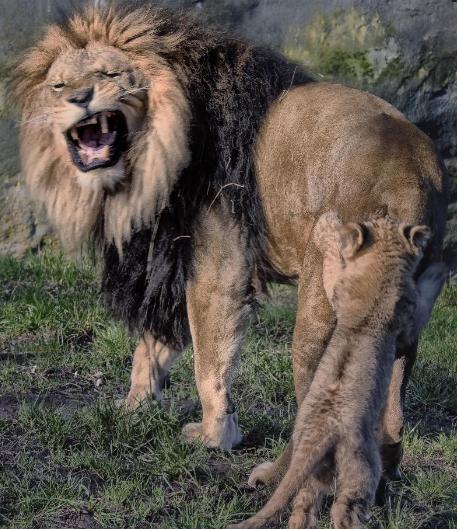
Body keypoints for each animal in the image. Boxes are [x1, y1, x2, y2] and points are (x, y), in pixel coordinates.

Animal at [14, 2, 446, 478]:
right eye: (58, 85)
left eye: (110, 74)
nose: (78, 99)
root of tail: (408, 179)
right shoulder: (176, 256)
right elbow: (153, 347)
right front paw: (132, 408)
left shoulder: (217, 259)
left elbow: (208, 353)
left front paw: (214, 436)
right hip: (405, 322)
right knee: (390, 415)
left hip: (321, 313)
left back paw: (271, 475)